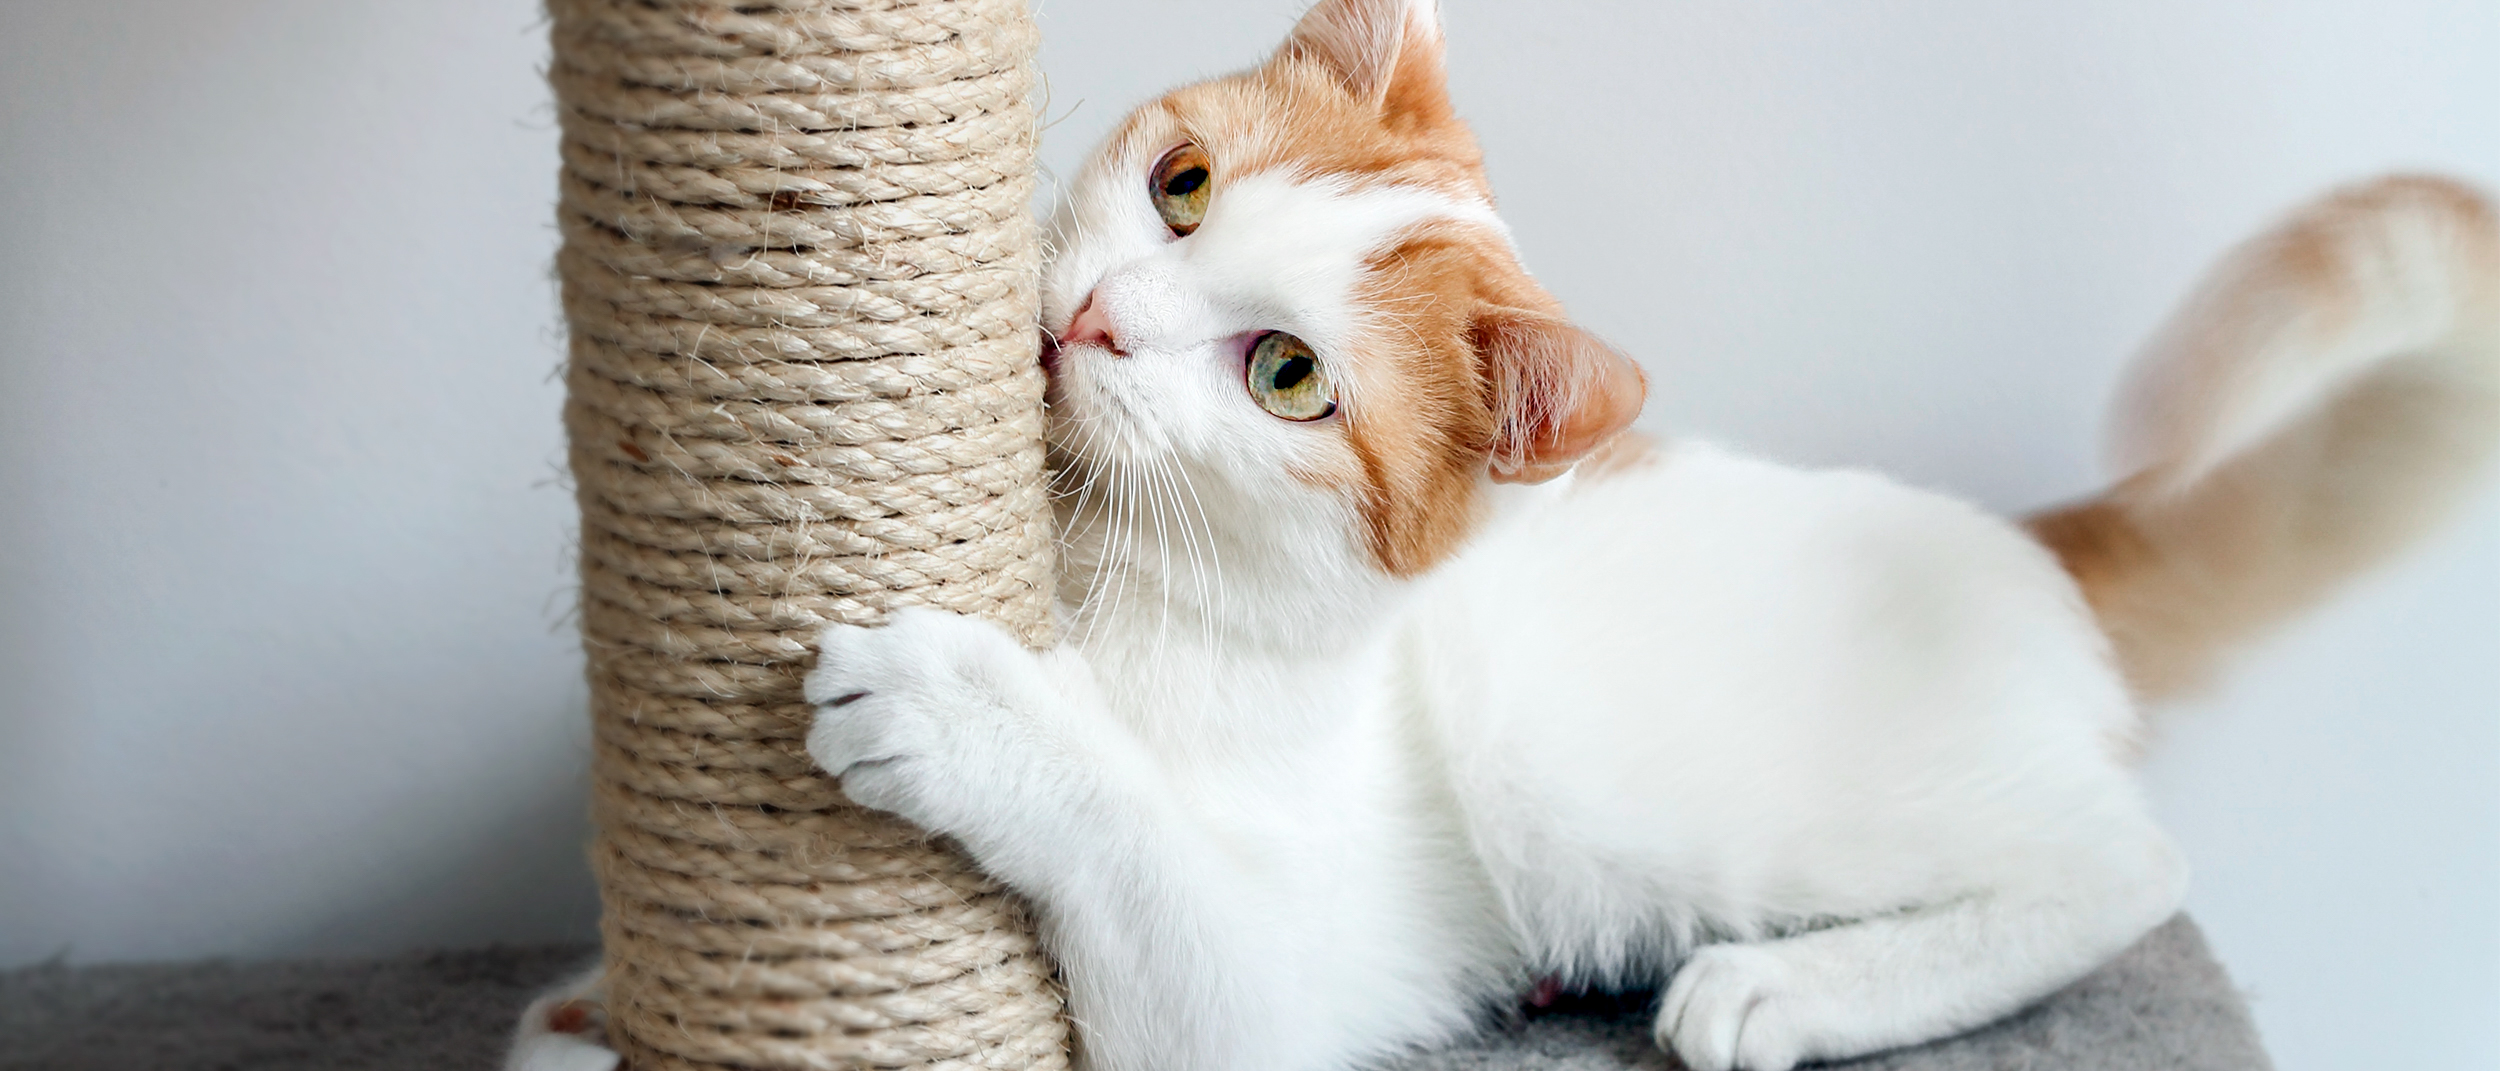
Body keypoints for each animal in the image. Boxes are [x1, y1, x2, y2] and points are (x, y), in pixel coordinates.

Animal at [512, 2, 2500, 1071]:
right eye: (1181, 185)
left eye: (1288, 376)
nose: (1085, 324)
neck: (1105, 566)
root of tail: (2021, 541)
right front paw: (581, 1013)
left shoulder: (1264, 997)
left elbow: (1138, 846)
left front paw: (973, 714)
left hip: (1689, 795)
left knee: (2121, 866)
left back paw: (1784, 985)